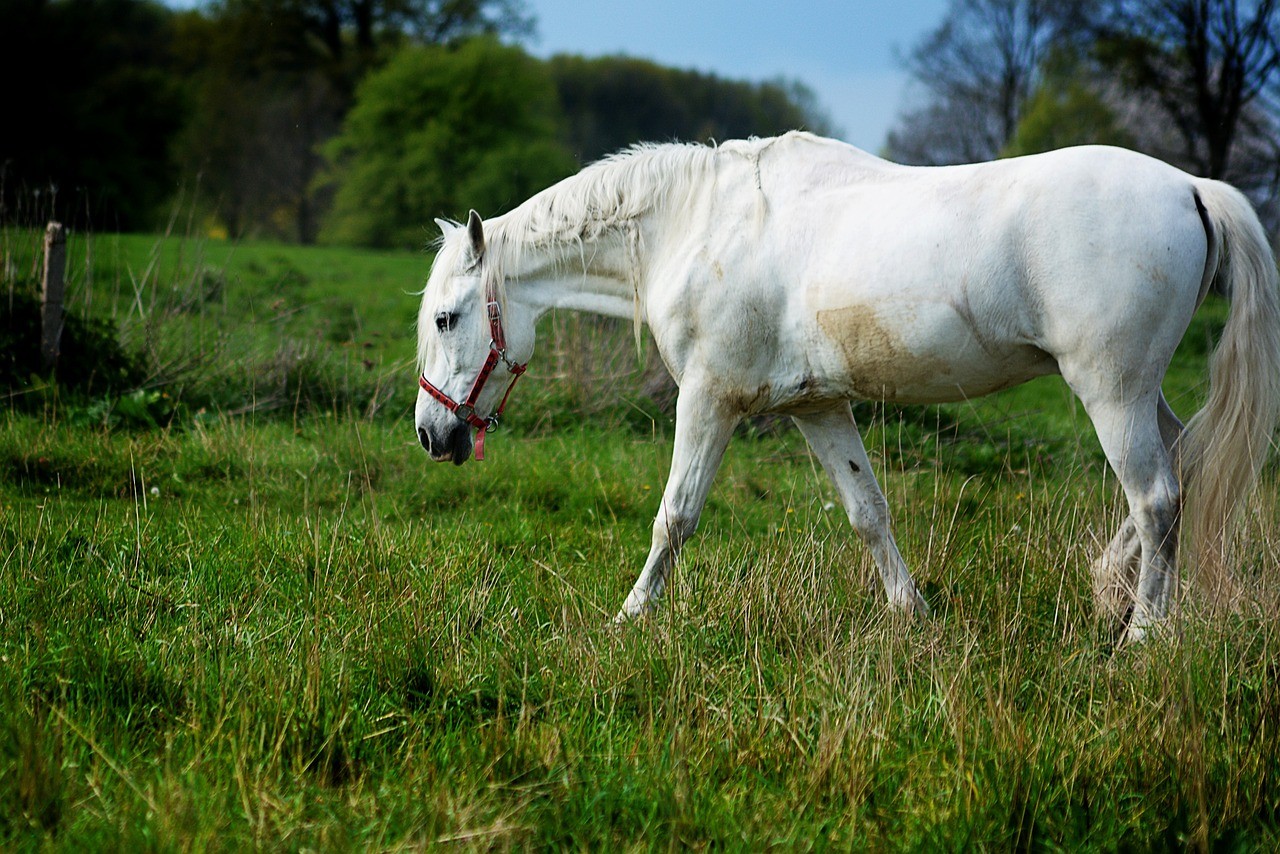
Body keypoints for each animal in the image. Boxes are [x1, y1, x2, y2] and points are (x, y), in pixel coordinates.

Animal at [414, 131, 1280, 644]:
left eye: (449, 319)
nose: (433, 434)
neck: (698, 225)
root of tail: (1191, 186)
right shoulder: (819, 407)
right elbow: (869, 512)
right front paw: (913, 616)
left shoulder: (709, 399)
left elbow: (675, 517)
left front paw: (629, 618)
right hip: (1136, 393)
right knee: (1185, 461)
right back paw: (1109, 589)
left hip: (1111, 391)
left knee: (1158, 495)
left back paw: (1142, 638)